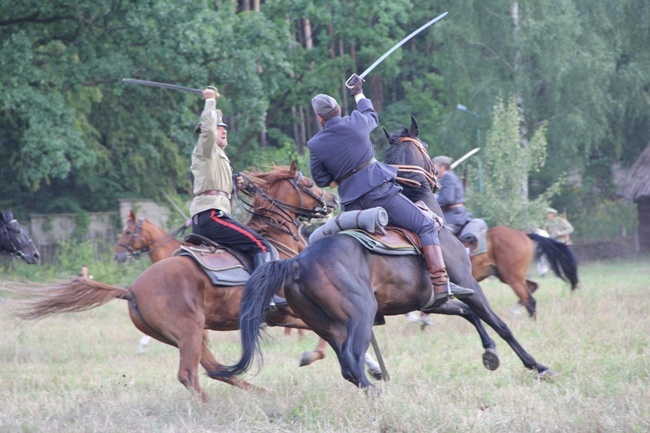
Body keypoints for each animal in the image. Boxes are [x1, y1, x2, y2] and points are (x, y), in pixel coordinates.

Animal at [6, 163, 334, 402]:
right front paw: (313, 356)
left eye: (129, 233)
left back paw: (258, 393)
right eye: (307, 185)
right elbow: (326, 331)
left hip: (191, 335)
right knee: (190, 374)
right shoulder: (291, 311)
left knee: (214, 370)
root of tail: (131, 289)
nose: (331, 200)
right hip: (189, 332)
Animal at [380, 116, 576, 318]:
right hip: (507, 276)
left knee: (529, 298)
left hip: (511, 276)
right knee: (531, 292)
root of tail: (524, 235)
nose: (436, 176)